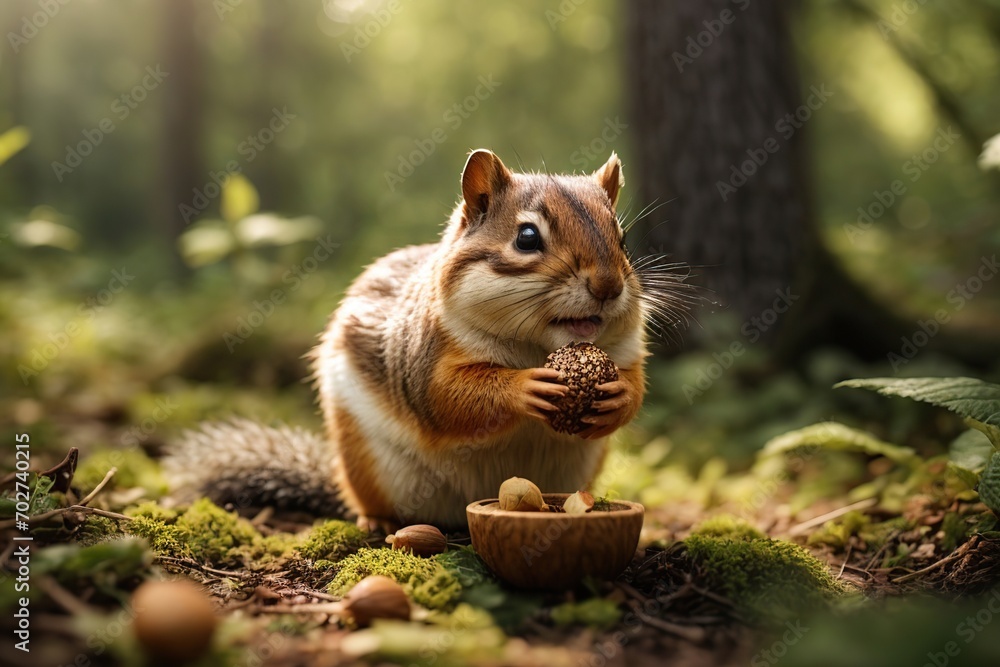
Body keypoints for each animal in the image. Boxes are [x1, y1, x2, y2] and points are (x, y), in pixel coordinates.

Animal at [167, 149, 688, 530]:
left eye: (622, 239)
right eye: (526, 237)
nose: (608, 286)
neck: (537, 346)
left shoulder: (624, 349)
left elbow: (636, 385)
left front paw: (617, 396)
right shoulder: (426, 355)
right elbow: (448, 398)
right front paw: (525, 387)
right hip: (368, 464)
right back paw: (376, 521)